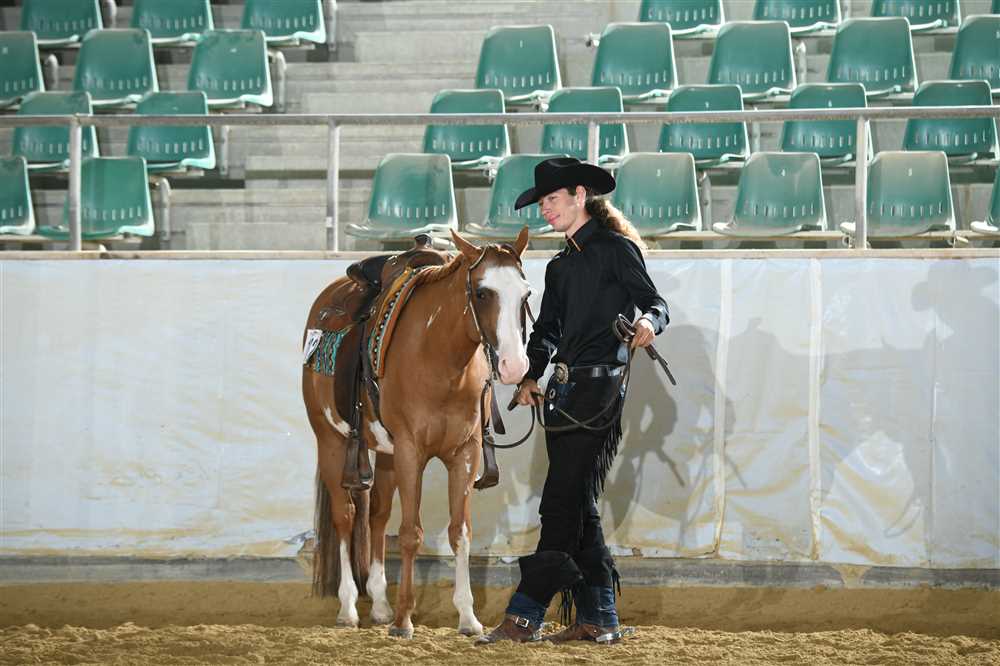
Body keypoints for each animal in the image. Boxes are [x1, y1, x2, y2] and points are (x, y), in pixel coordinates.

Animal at [301, 228, 532, 638]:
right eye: (482, 293)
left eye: (526, 294)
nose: (513, 365)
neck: (440, 358)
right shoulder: (411, 451)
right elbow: (411, 533)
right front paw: (404, 620)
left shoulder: (465, 453)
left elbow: (460, 531)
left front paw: (468, 618)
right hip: (331, 441)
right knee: (346, 516)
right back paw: (349, 608)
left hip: (385, 455)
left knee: (376, 515)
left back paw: (379, 605)